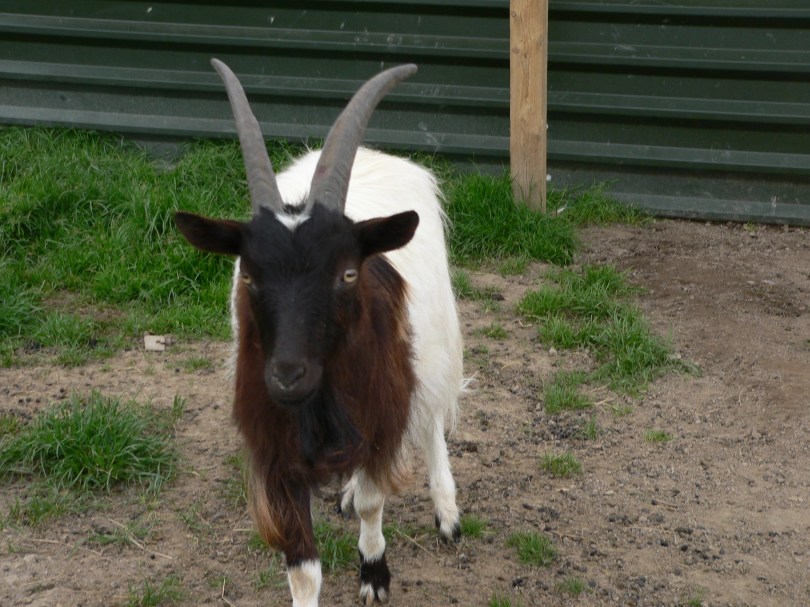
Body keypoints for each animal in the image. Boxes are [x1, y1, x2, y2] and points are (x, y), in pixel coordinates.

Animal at [174, 59, 464, 607]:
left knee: (433, 414)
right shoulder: (274, 450)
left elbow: (374, 499)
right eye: (249, 275)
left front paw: (374, 573)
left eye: (347, 273)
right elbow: (302, 566)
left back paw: (447, 514)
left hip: (435, 343)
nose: (288, 375)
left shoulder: (382, 415)